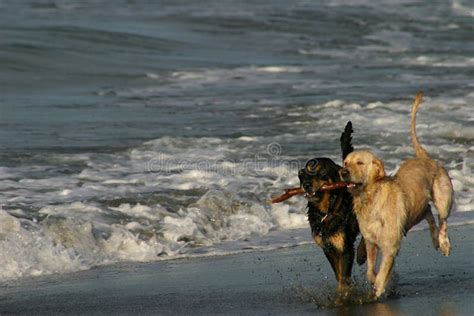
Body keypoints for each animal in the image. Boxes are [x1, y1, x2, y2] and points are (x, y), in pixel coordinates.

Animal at [296, 121, 366, 294]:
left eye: (321, 173)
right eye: (302, 174)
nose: (306, 185)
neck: (327, 209)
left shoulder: (345, 248)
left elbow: (344, 278)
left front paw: (343, 295)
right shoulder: (327, 247)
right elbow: (338, 274)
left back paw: (362, 254)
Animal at [338, 92, 454, 298]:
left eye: (360, 163)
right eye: (345, 162)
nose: (343, 172)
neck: (370, 199)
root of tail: (425, 158)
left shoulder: (390, 246)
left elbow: (382, 273)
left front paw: (380, 287)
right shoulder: (371, 242)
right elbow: (370, 271)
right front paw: (377, 279)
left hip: (443, 198)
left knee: (443, 219)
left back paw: (444, 243)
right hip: (415, 211)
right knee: (427, 212)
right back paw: (434, 239)